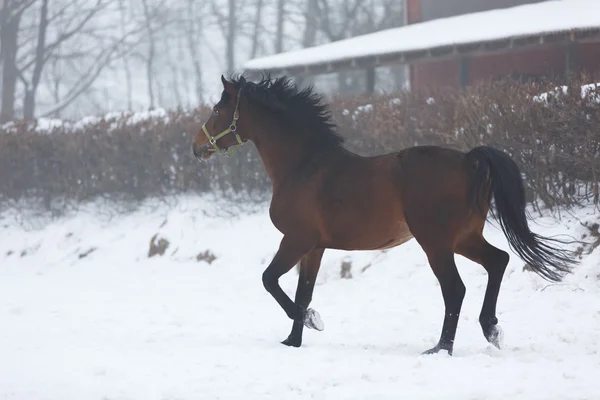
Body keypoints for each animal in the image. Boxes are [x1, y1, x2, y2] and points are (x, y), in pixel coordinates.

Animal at [192, 73, 576, 354]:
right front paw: (293, 341)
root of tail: (470, 159)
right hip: (464, 238)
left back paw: (441, 348)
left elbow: (271, 281)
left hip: (436, 243)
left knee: (455, 289)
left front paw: (312, 321)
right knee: (498, 261)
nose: (196, 147)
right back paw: (491, 329)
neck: (303, 166)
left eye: (217, 109)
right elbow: (304, 290)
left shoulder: (296, 239)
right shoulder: (315, 247)